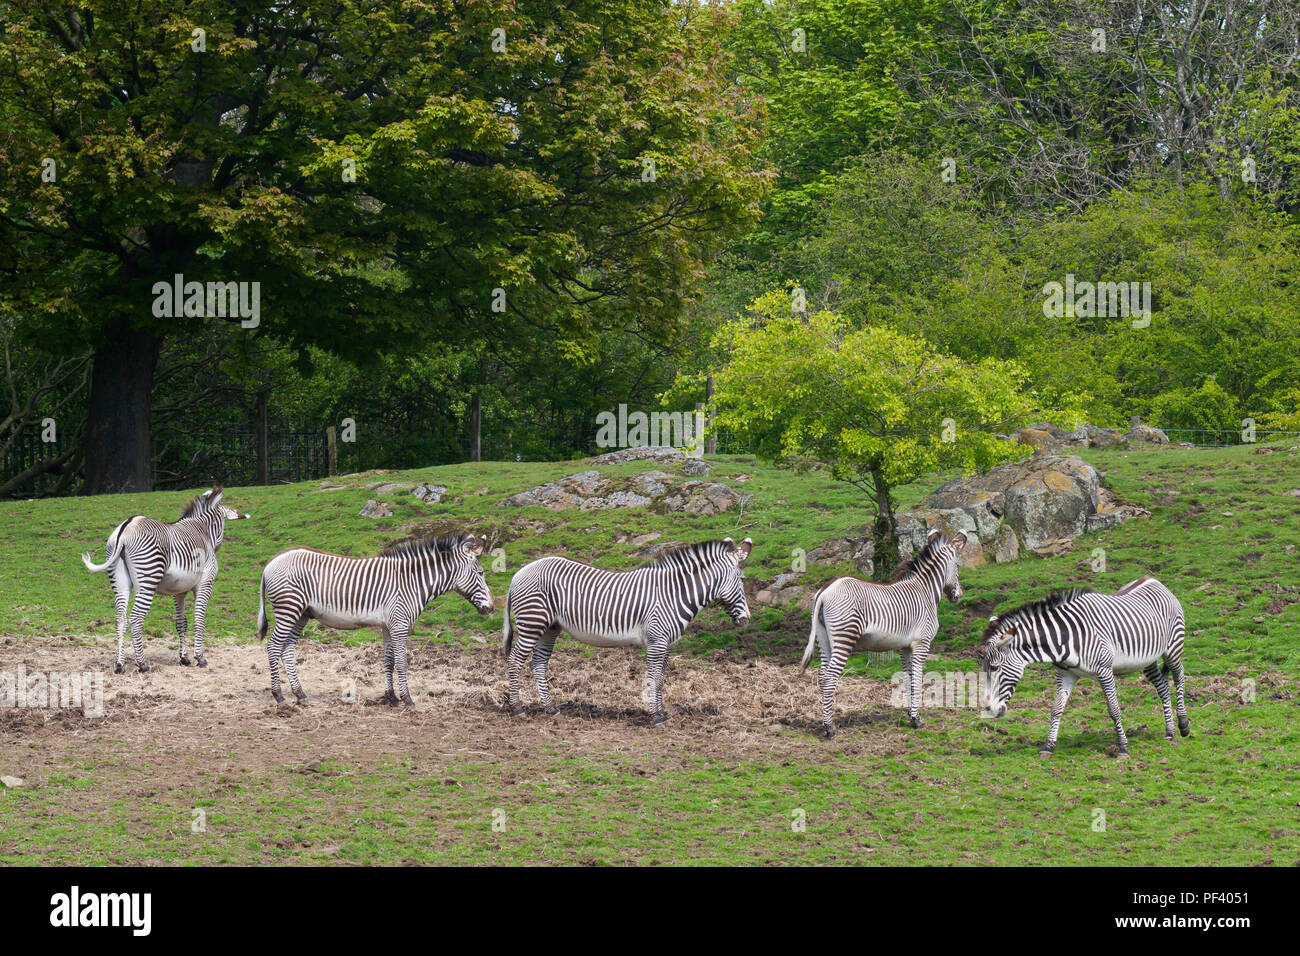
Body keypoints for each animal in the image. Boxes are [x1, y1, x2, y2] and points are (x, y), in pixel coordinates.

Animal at [81, 486, 249, 673]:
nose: (218, 546)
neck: (201, 530)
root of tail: (126, 528)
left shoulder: (179, 591)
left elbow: (181, 622)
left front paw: (184, 658)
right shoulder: (205, 584)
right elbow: (199, 620)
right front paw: (200, 658)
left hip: (119, 582)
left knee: (120, 619)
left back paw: (120, 665)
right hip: (148, 579)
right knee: (135, 619)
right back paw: (143, 664)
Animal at [256, 532, 492, 707]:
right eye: (481, 573)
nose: (490, 608)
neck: (412, 582)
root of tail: (271, 561)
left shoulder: (389, 625)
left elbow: (388, 660)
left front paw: (391, 697)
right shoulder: (400, 624)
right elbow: (402, 662)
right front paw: (407, 699)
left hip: (301, 614)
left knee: (287, 650)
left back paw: (300, 693)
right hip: (289, 608)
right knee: (274, 647)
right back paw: (279, 695)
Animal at [502, 537, 752, 725]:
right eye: (741, 580)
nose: (746, 620)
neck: (674, 594)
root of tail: (517, 574)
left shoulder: (667, 643)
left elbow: (662, 678)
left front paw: (661, 713)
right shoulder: (657, 641)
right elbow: (655, 677)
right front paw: (655, 716)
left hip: (549, 628)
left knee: (538, 664)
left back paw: (550, 707)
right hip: (532, 624)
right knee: (514, 661)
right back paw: (517, 708)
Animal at [801, 529, 968, 738]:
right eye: (958, 566)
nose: (958, 595)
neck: (925, 591)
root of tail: (826, 590)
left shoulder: (905, 647)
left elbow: (909, 678)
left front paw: (910, 714)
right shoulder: (922, 643)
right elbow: (918, 678)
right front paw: (917, 720)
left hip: (823, 639)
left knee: (823, 675)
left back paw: (825, 724)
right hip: (844, 637)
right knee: (830, 676)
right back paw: (830, 728)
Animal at [978, 577, 1189, 758]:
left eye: (995, 668)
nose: (988, 709)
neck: (1065, 637)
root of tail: (1154, 580)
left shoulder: (1105, 671)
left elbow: (1114, 709)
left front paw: (1123, 747)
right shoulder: (1065, 674)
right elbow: (1056, 708)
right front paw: (1048, 746)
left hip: (1173, 647)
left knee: (1179, 675)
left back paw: (1183, 724)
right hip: (1147, 659)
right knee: (1162, 687)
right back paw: (1170, 732)